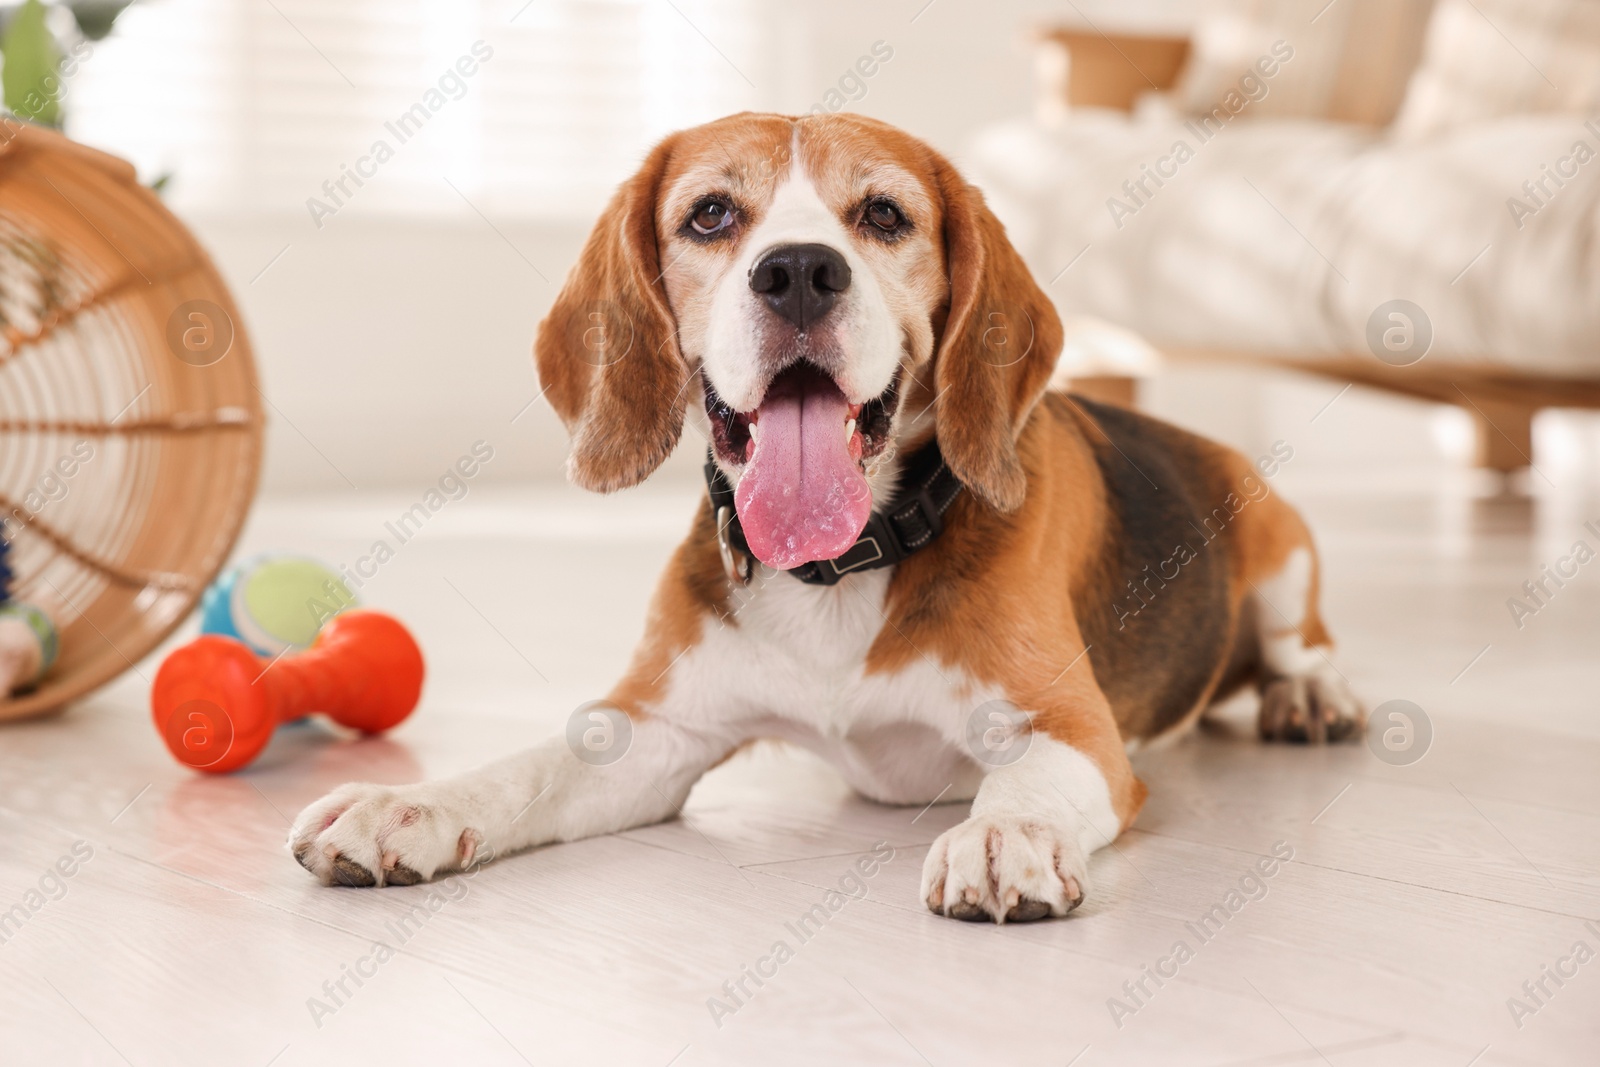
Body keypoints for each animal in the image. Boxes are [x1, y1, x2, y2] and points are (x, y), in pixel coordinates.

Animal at [291, 112, 1363, 921]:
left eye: (883, 213)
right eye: (711, 214)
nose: (799, 269)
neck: (841, 565)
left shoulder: (1067, 727)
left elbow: (1023, 781)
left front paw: (1001, 833)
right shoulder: (655, 728)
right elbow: (525, 769)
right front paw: (404, 804)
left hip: (1283, 553)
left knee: (1304, 644)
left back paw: (1310, 698)